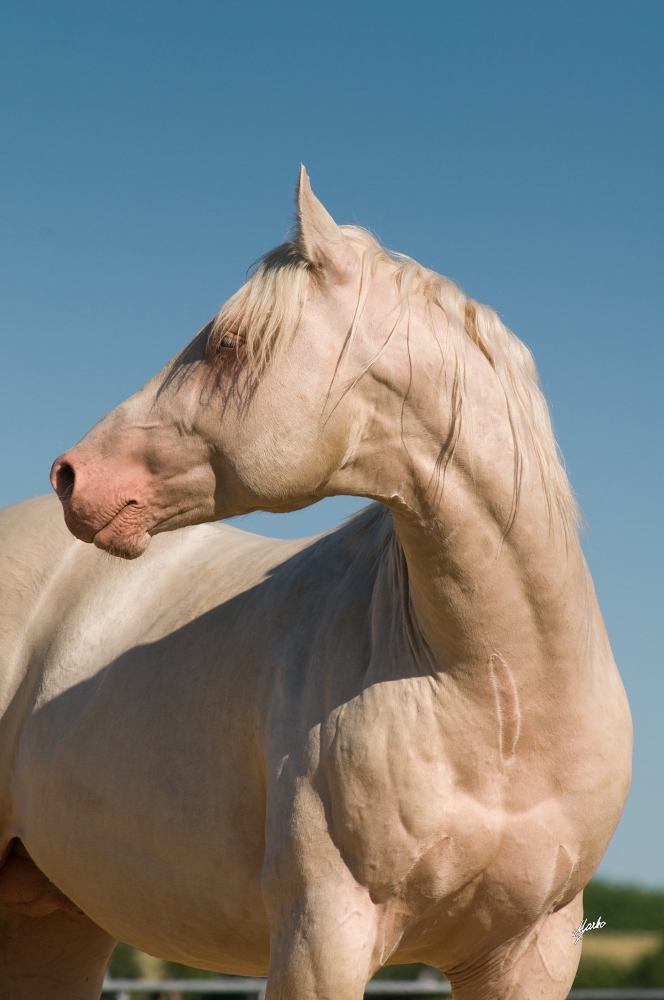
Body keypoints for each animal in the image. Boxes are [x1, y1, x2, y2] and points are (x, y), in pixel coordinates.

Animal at [1, 168, 632, 996]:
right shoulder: (322, 935)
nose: (73, 475)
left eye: (228, 343)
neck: (500, 691)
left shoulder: (533, 950)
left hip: (57, 923)